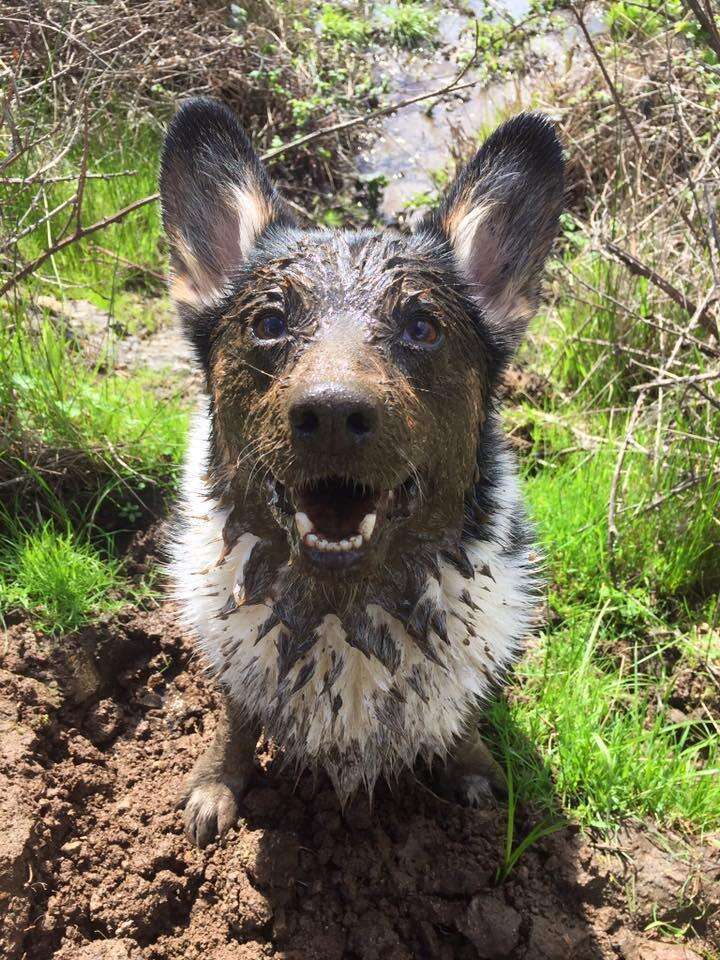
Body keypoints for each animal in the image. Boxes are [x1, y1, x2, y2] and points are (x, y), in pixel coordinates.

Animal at [160, 99, 564, 848]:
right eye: (269, 322)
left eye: (422, 328)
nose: (331, 414)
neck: (341, 608)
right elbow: (236, 716)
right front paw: (218, 783)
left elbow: (463, 716)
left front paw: (471, 768)